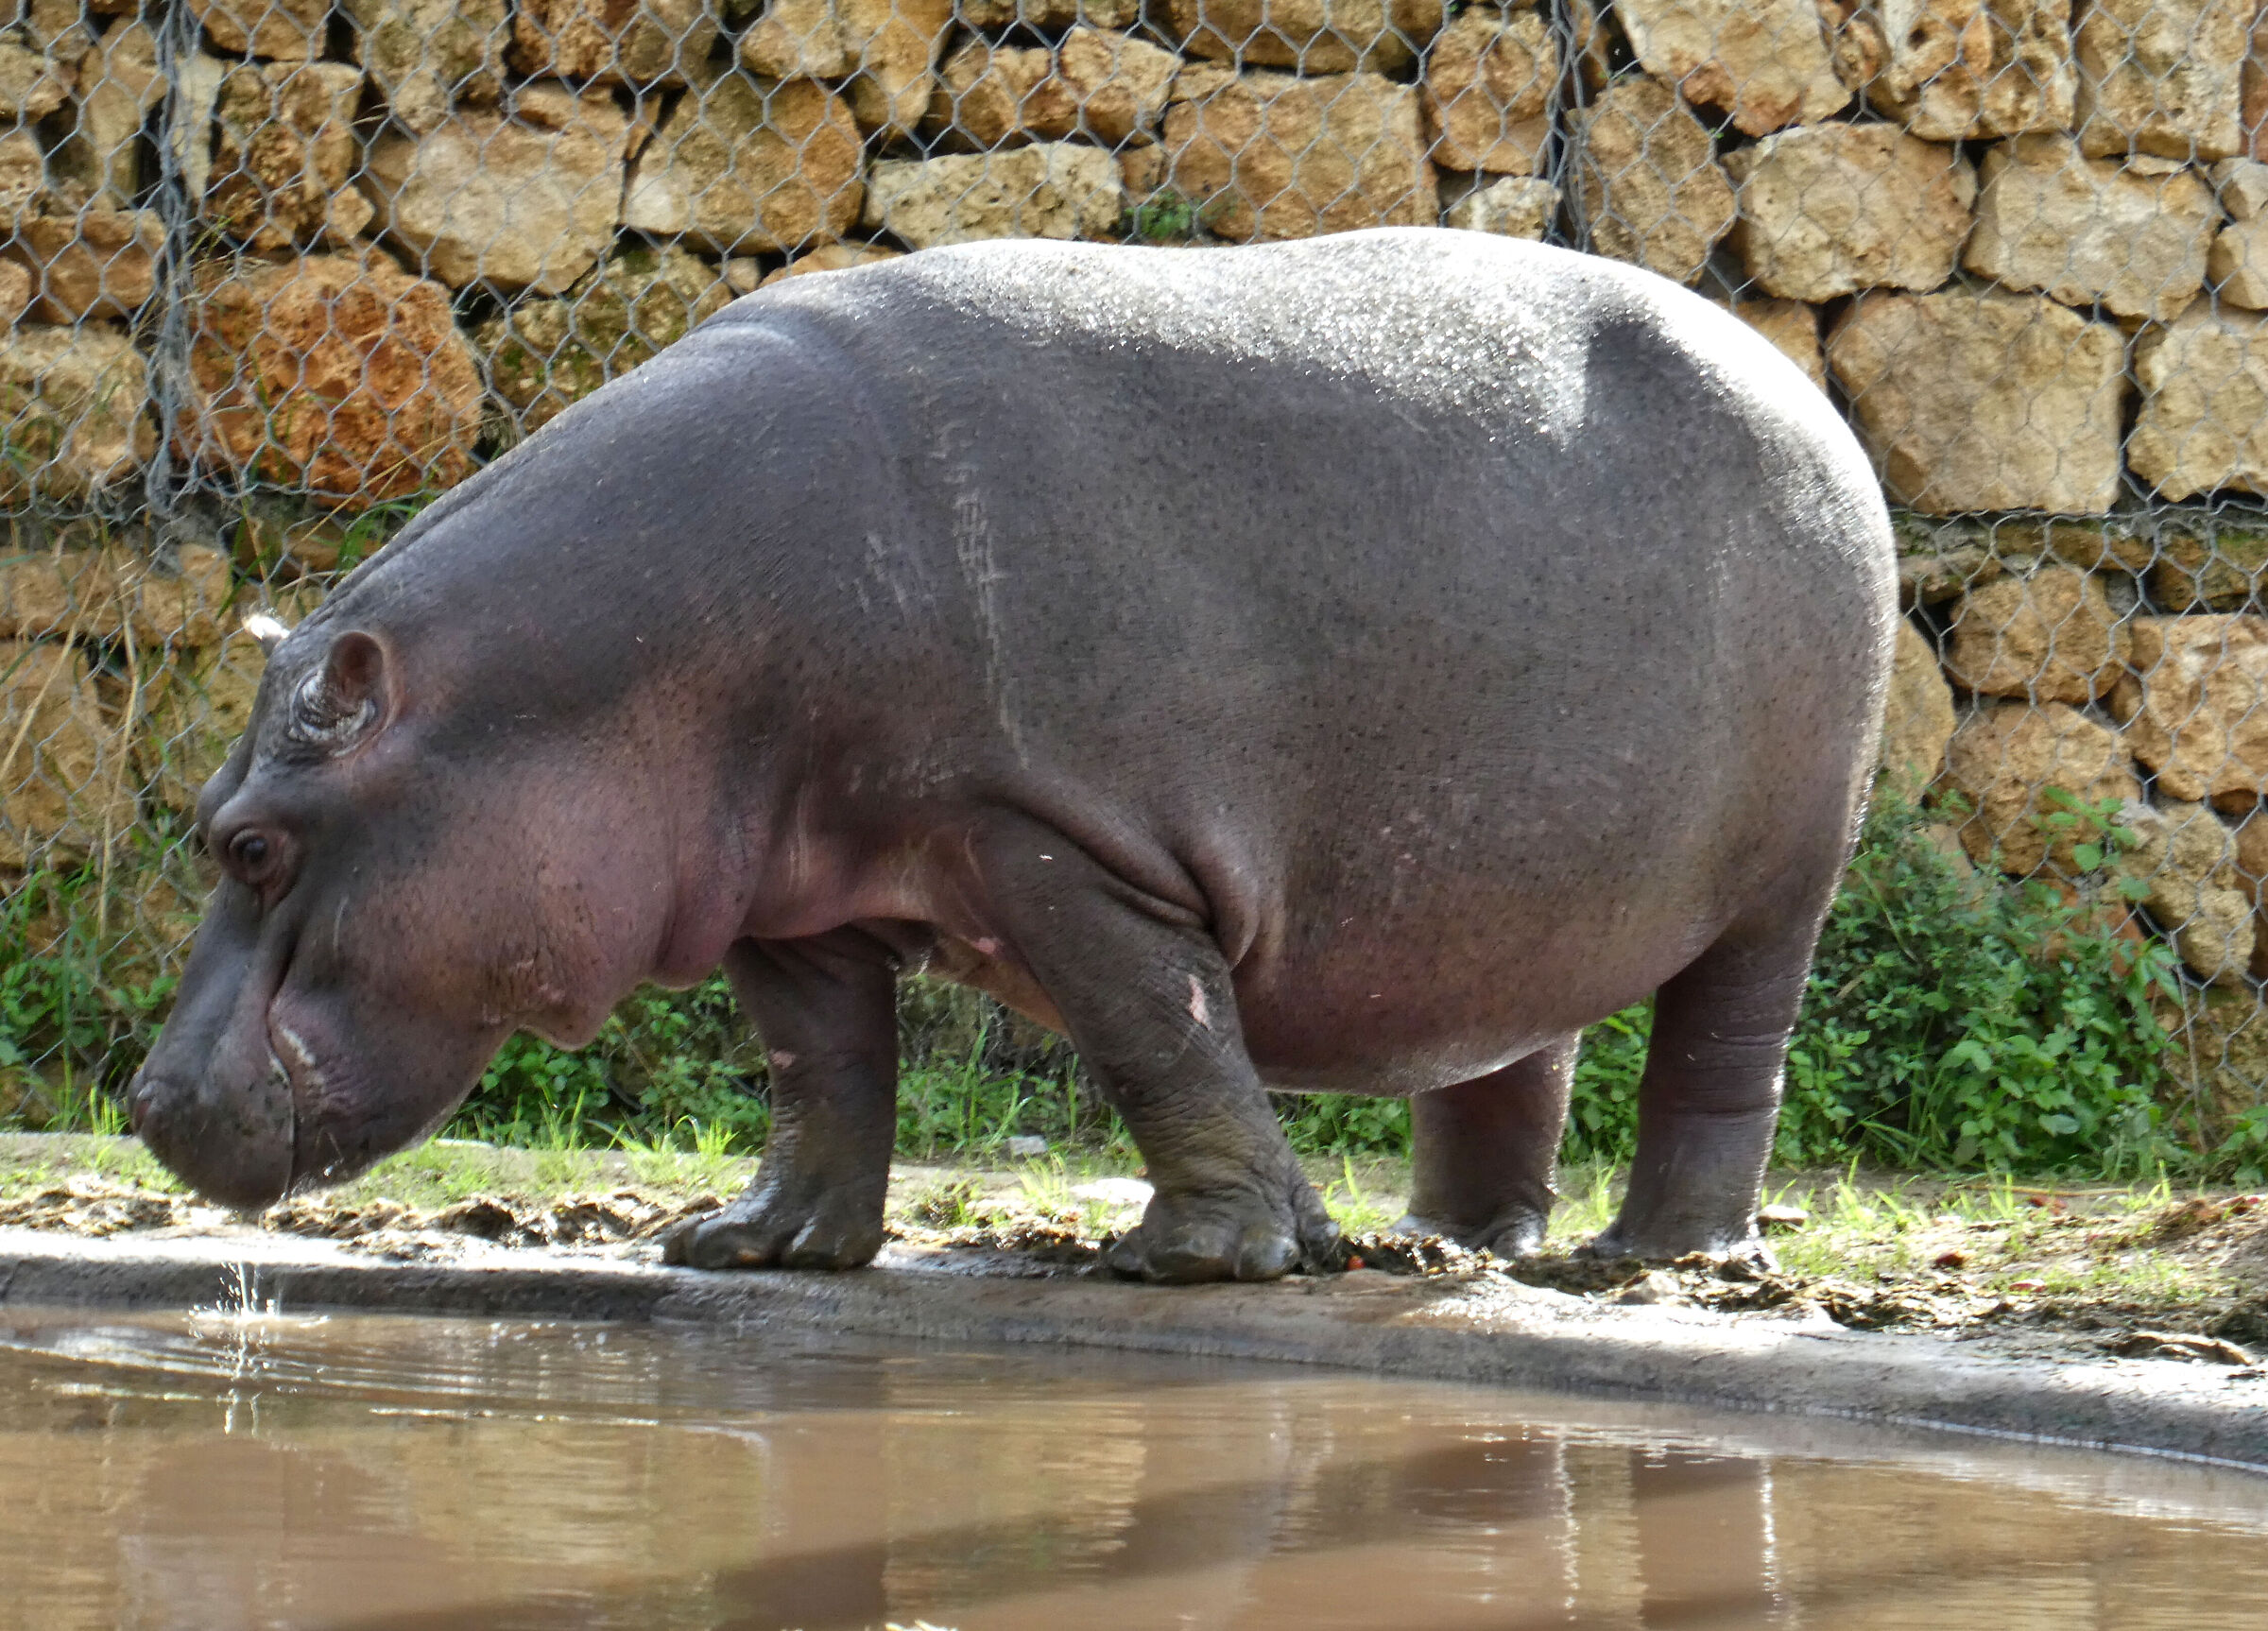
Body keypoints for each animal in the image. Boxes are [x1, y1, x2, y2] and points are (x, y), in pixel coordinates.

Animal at [130, 227, 1895, 1283]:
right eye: (212, 819)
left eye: (254, 843)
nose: (144, 1098)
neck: (589, 672)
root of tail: (1797, 380)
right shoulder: (788, 881)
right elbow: (822, 1066)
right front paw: (750, 1243)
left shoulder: (1052, 833)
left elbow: (1158, 1035)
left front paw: (1200, 1261)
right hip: (1507, 884)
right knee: (1507, 1052)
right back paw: (1456, 1245)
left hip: (1783, 882)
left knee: (1722, 1058)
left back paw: (1656, 1261)